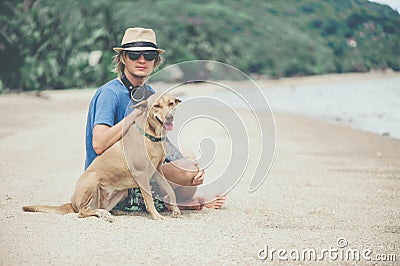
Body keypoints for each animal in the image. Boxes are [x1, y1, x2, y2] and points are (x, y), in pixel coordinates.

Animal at [22, 92, 182, 221]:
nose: (169, 117)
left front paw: (175, 210)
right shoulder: (141, 174)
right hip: (92, 179)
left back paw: (110, 212)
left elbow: (170, 190)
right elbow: (149, 199)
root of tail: (72, 202)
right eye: (157, 106)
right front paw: (156, 215)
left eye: (171, 103)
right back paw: (101, 214)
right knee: (82, 212)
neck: (151, 136)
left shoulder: (156, 171)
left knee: (97, 208)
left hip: (121, 192)